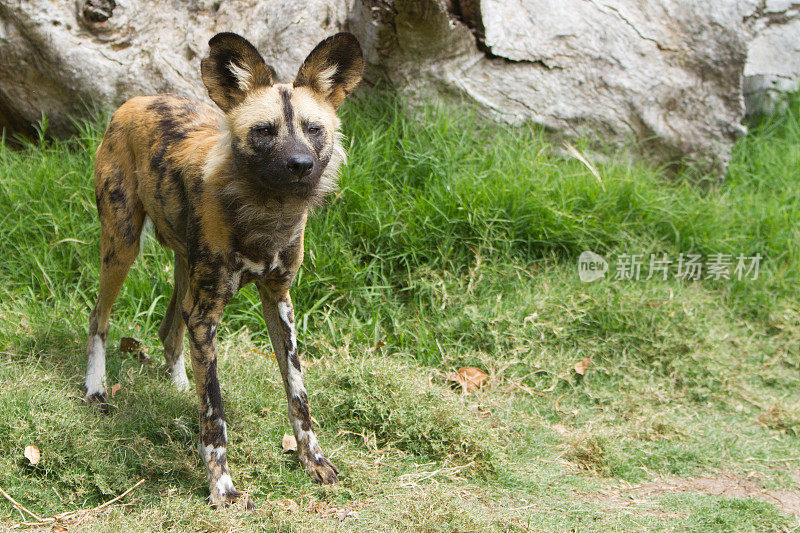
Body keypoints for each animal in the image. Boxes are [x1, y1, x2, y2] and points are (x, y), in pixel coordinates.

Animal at [82, 32, 362, 508]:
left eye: (313, 129)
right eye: (264, 131)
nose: (301, 165)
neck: (266, 213)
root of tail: (137, 100)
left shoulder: (278, 301)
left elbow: (298, 395)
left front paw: (313, 461)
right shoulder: (208, 313)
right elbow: (214, 414)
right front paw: (222, 489)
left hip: (184, 269)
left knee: (169, 329)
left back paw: (177, 384)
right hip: (122, 246)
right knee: (99, 319)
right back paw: (96, 389)